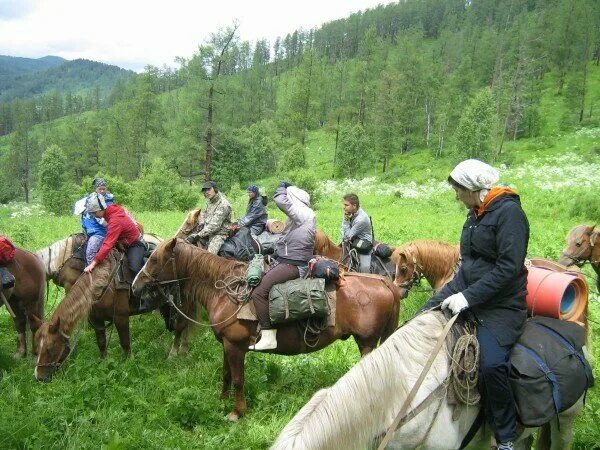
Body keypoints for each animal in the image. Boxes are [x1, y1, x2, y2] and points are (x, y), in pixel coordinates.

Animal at [133, 239, 400, 422]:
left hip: (366, 343)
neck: (224, 292)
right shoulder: (226, 345)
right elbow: (226, 375)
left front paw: (236, 412)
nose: (136, 286)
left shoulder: (235, 346)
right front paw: (222, 401)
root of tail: (384, 282)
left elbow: (238, 379)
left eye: (155, 259)